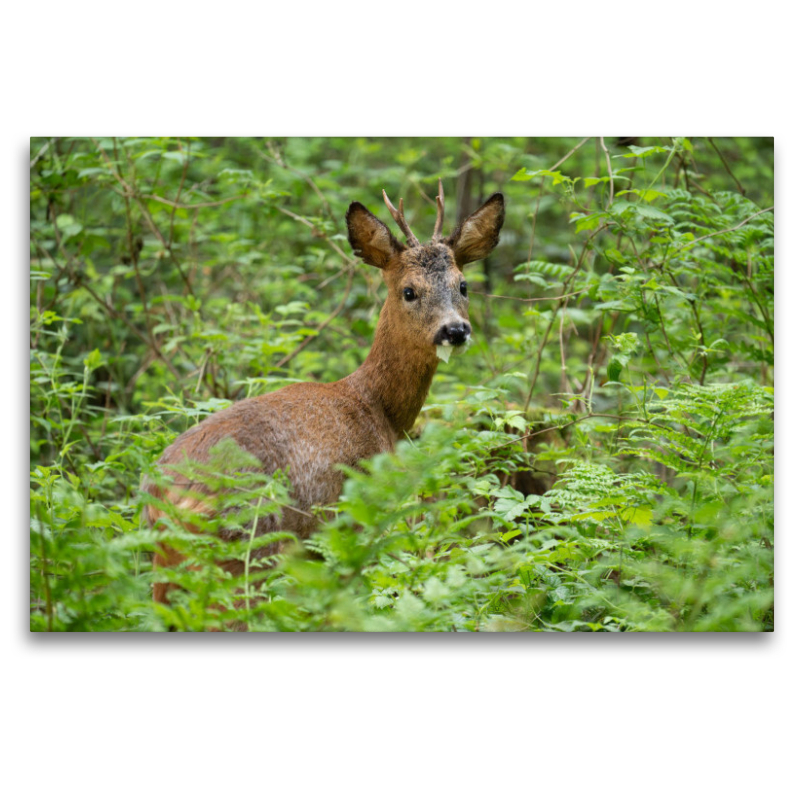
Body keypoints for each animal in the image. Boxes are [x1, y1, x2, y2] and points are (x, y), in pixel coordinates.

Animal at [143, 181, 504, 604]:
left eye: (463, 285)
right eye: (409, 291)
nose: (455, 330)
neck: (380, 411)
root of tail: (163, 493)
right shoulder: (353, 513)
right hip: (247, 543)